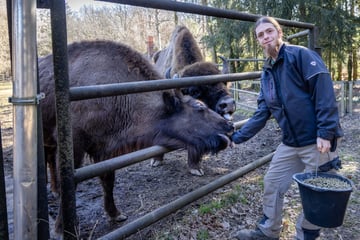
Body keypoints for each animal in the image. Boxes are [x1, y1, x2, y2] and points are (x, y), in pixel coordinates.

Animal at [39, 40, 235, 229]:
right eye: (199, 106)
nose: (229, 126)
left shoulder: (105, 150)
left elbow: (108, 179)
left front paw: (116, 214)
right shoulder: (75, 146)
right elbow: (72, 183)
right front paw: (61, 227)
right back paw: (55, 192)